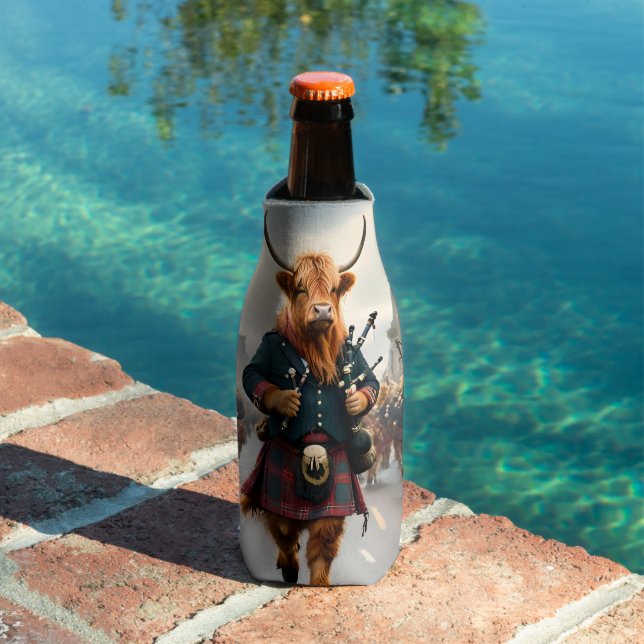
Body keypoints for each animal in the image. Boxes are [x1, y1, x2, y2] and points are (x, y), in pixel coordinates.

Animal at [240, 216, 379, 586]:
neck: (314, 349)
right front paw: (286, 401)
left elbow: (369, 381)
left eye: (332, 289)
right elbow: (253, 375)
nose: (322, 310)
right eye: (301, 289)